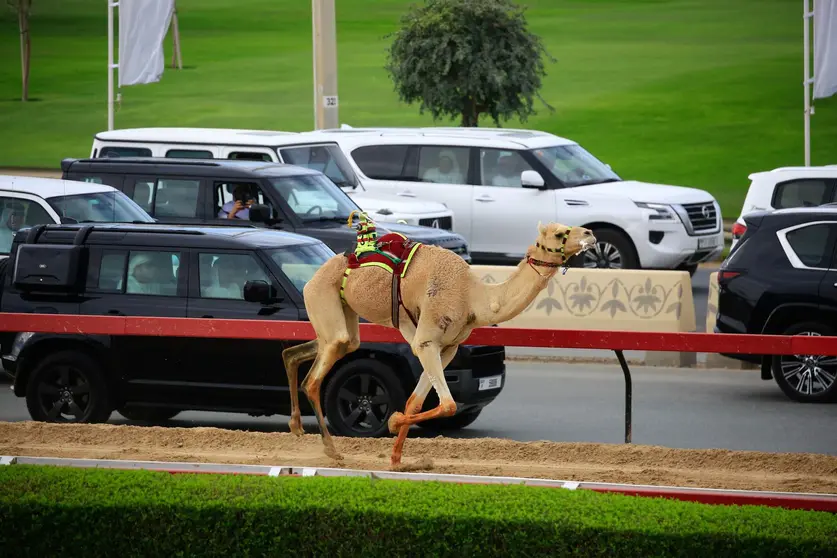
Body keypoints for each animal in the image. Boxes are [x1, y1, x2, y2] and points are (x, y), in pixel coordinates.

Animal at [282, 213, 596, 468]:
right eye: (560, 233)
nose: (590, 234)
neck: (474, 298)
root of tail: (313, 277)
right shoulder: (427, 341)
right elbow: (448, 405)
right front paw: (393, 422)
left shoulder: (447, 348)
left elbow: (415, 402)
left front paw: (396, 459)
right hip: (324, 299)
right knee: (315, 378)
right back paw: (331, 450)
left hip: (342, 317)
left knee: (303, 351)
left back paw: (297, 426)